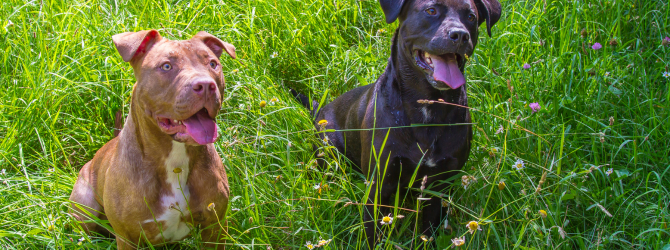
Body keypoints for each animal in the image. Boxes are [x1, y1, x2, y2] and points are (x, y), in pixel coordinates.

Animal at [70, 29, 238, 248]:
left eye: (212, 64)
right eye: (166, 66)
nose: (206, 85)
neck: (175, 159)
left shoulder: (215, 226)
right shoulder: (126, 238)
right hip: (85, 210)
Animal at [292, 0, 498, 246]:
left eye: (471, 17)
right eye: (431, 10)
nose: (460, 35)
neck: (427, 108)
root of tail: (320, 112)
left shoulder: (436, 187)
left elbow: (428, 229)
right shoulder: (379, 185)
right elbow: (373, 232)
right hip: (329, 154)